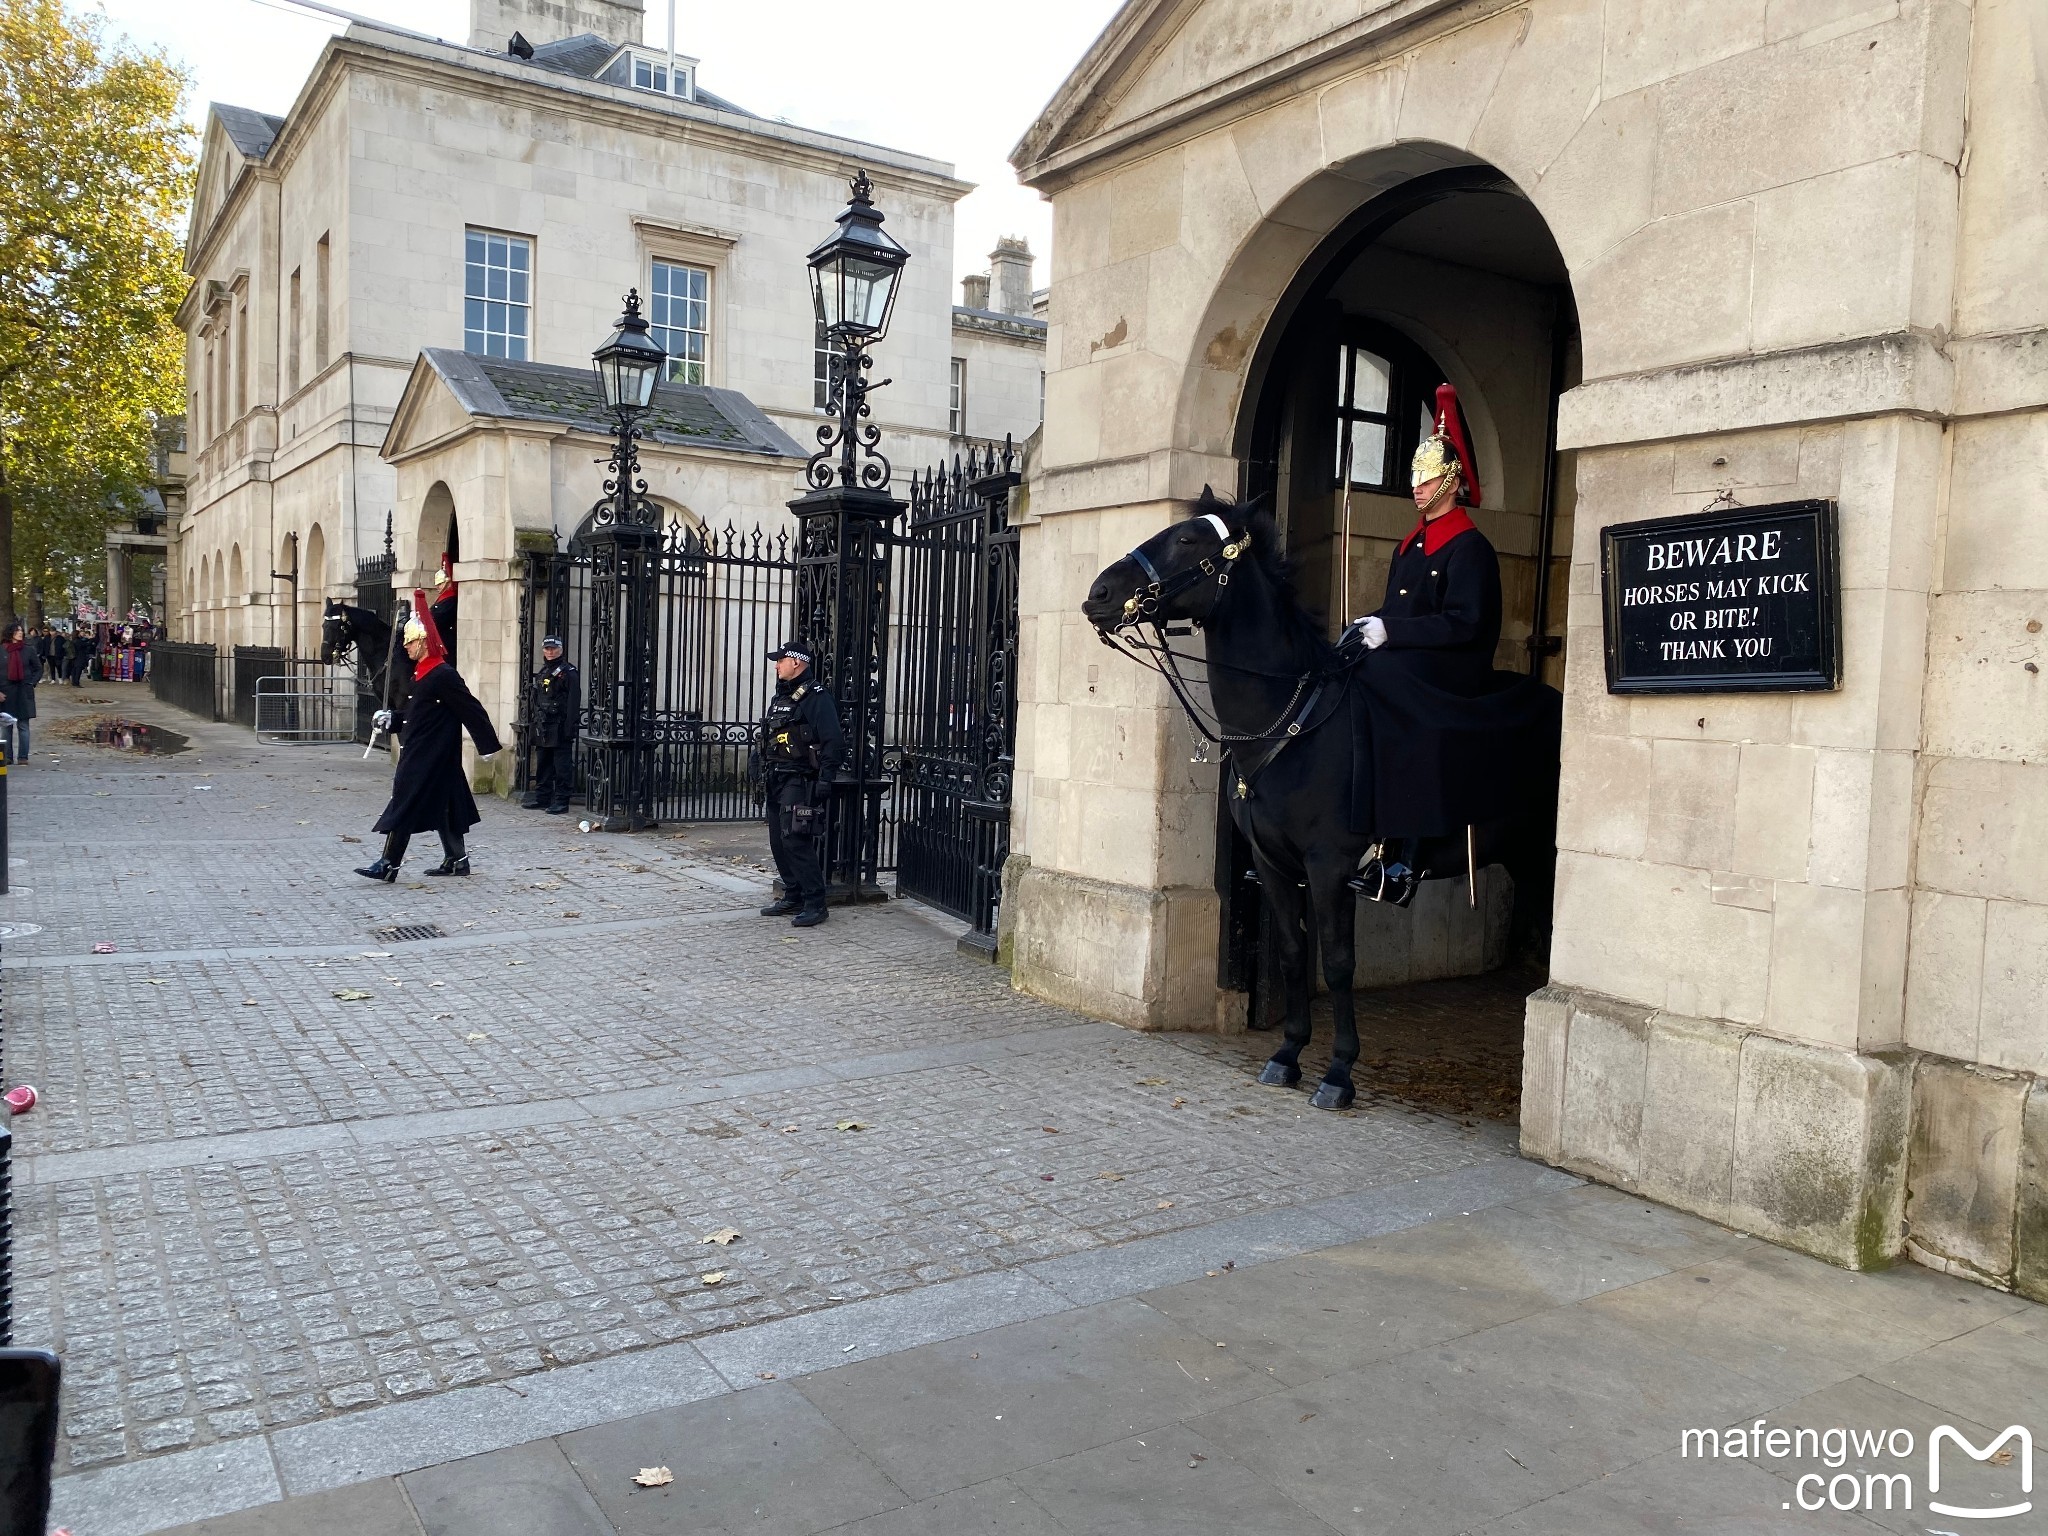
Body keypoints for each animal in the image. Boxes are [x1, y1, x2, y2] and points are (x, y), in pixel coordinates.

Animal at [1089, 493, 1548, 1105]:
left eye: (1187, 540)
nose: (1099, 595)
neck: (1287, 725)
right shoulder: (1273, 865)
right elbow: (1290, 953)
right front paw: (1287, 1053)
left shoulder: (1329, 866)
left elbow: (1336, 962)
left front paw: (1339, 1072)